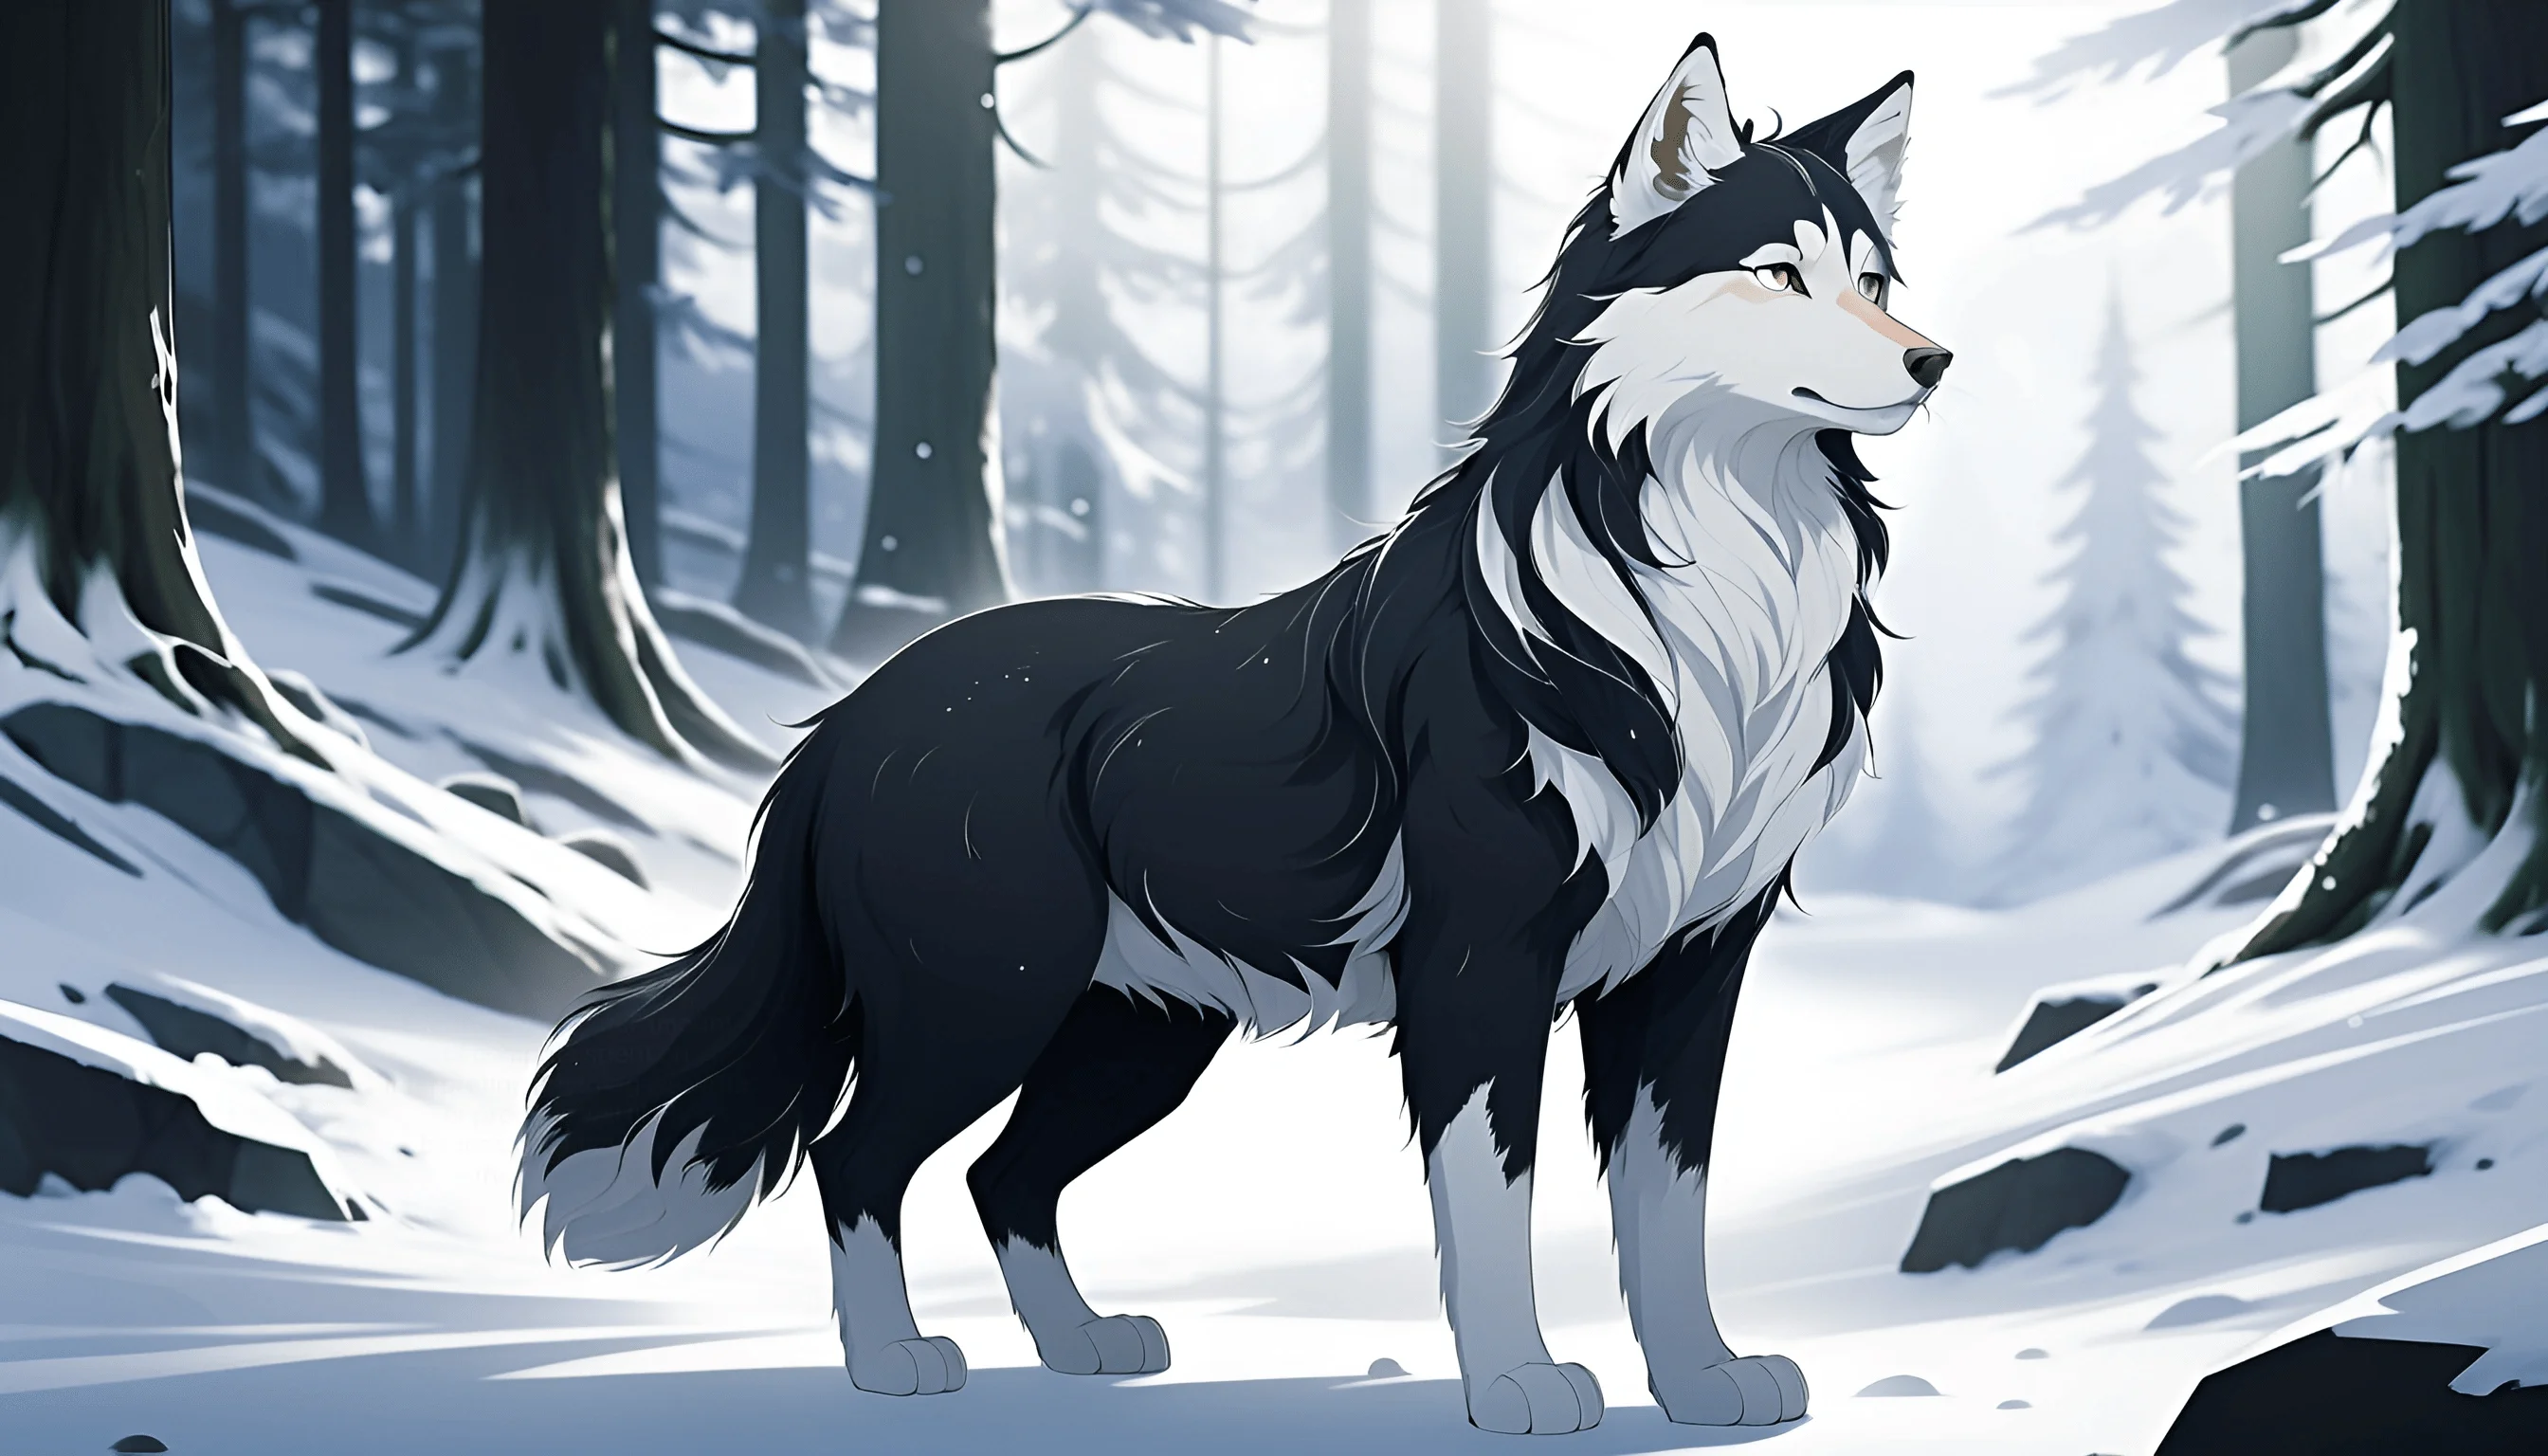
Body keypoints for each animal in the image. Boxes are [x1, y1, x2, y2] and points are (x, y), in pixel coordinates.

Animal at [520, 34, 1946, 1434]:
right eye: (1777, 275)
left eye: (1874, 279)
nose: (1934, 361)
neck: (1709, 591)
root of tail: (849, 716)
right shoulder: (1482, 965)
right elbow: (1493, 1198)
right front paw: (1520, 1384)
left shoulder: (1692, 965)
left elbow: (1671, 1203)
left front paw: (1703, 1381)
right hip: (984, 1000)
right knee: (857, 1156)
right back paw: (894, 1362)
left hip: (1136, 1034)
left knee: (1002, 1176)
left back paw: (1081, 1344)